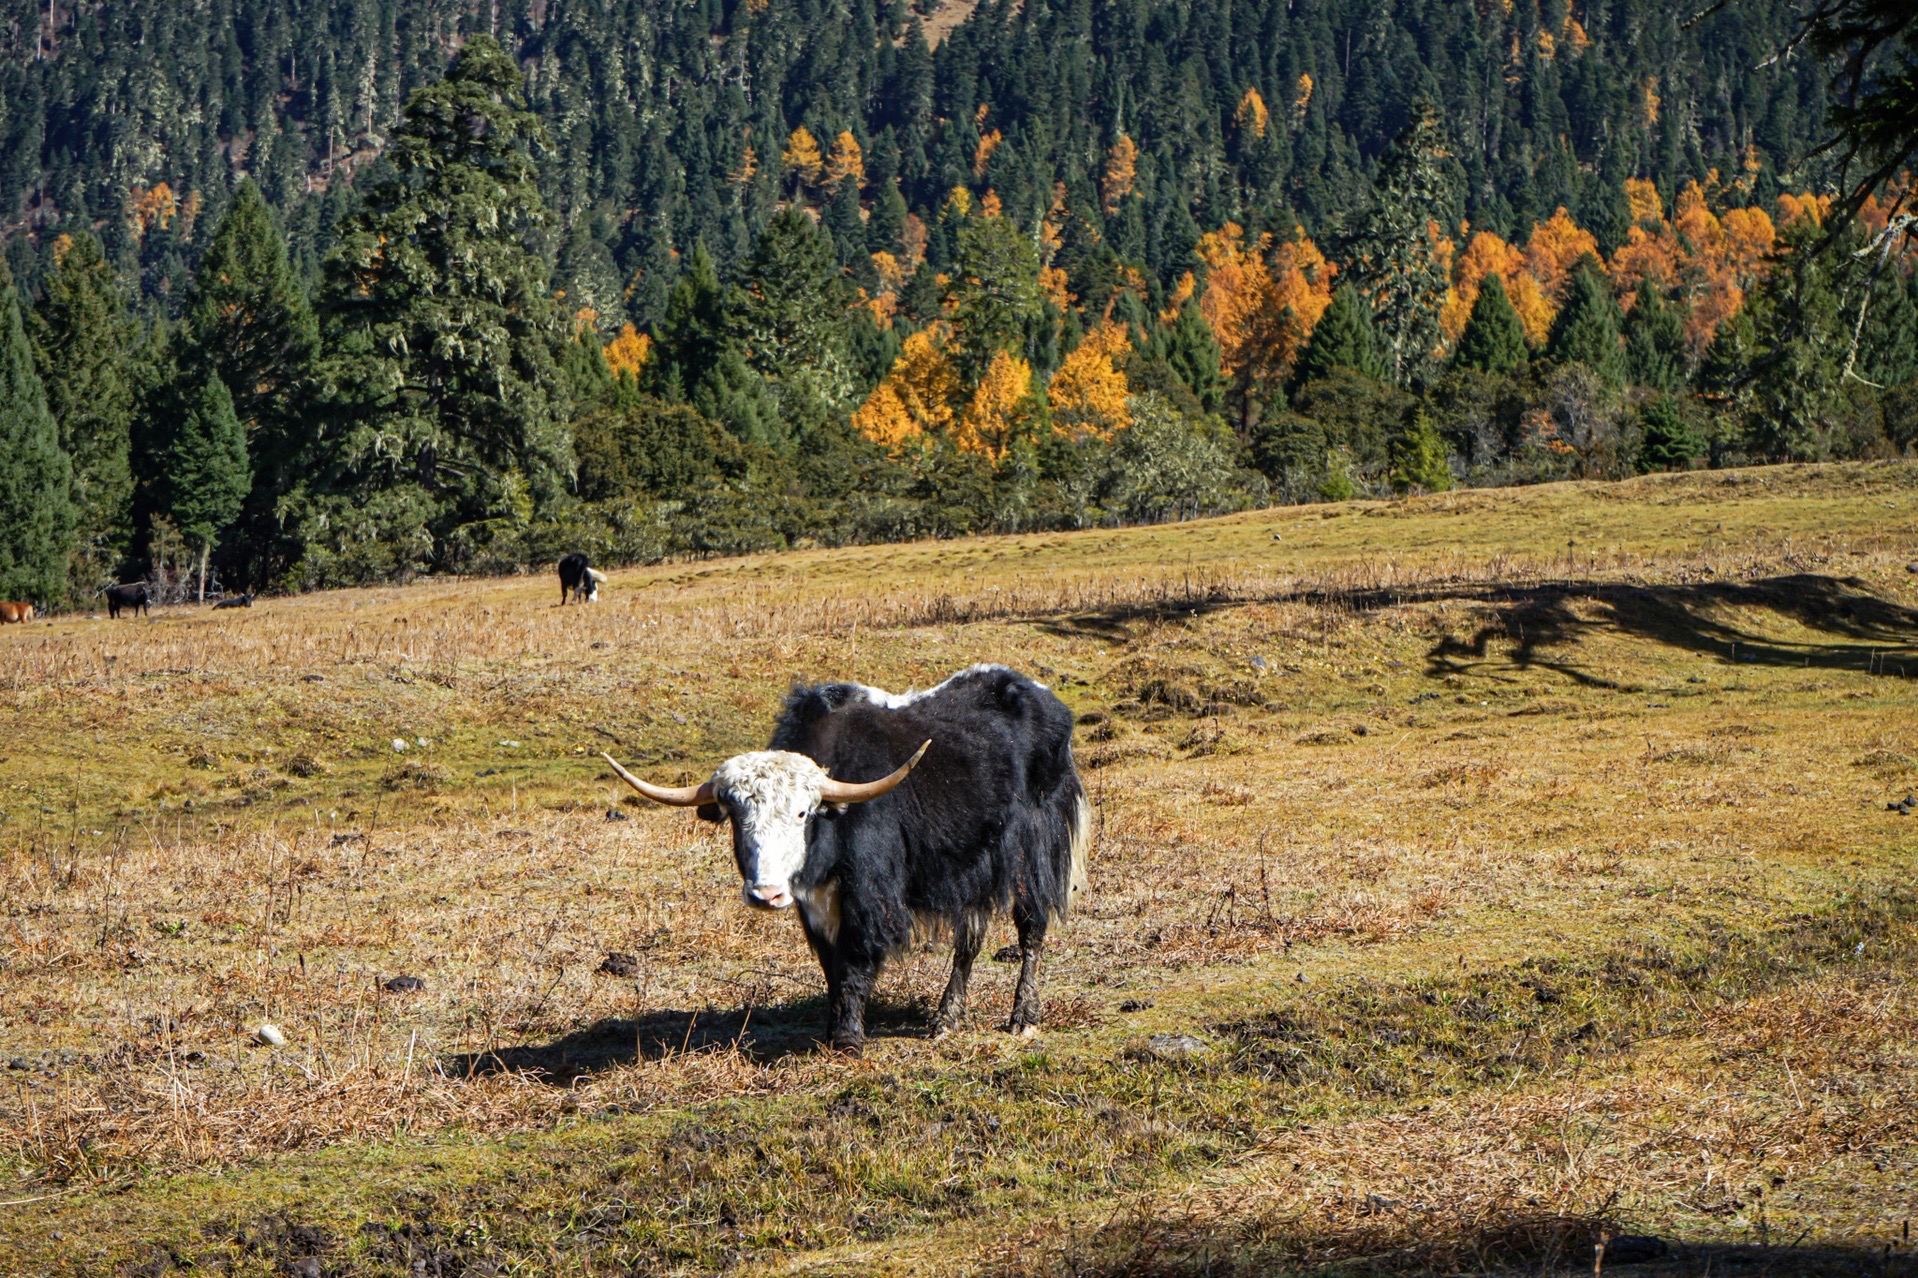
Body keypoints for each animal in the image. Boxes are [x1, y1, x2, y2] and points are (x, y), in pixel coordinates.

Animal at [606, 660, 1089, 1051]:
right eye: (736, 815)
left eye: (802, 813)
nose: (765, 895)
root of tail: (1047, 700)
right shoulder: (815, 904)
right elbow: (830, 964)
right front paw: (832, 1029)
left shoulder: (867, 895)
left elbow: (855, 961)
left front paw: (847, 1040)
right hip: (974, 865)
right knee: (970, 937)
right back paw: (946, 1019)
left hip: (1035, 847)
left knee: (1031, 926)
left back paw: (1023, 1017)